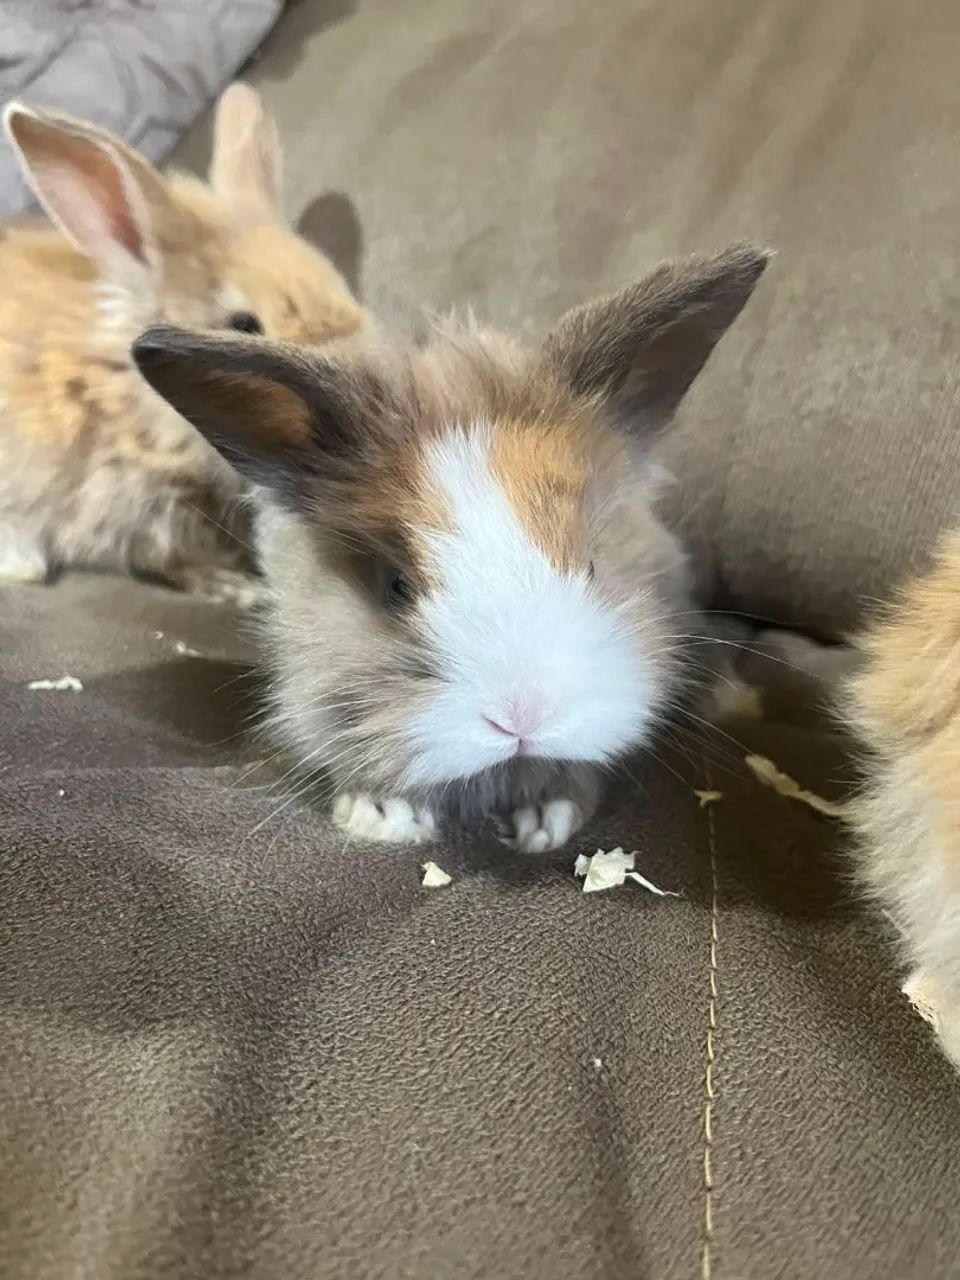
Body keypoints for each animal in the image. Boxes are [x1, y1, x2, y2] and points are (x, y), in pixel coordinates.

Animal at [0, 83, 365, 604]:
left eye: (339, 284)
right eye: (244, 324)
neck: (133, 394)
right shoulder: (134, 512)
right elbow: (179, 561)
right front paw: (241, 589)